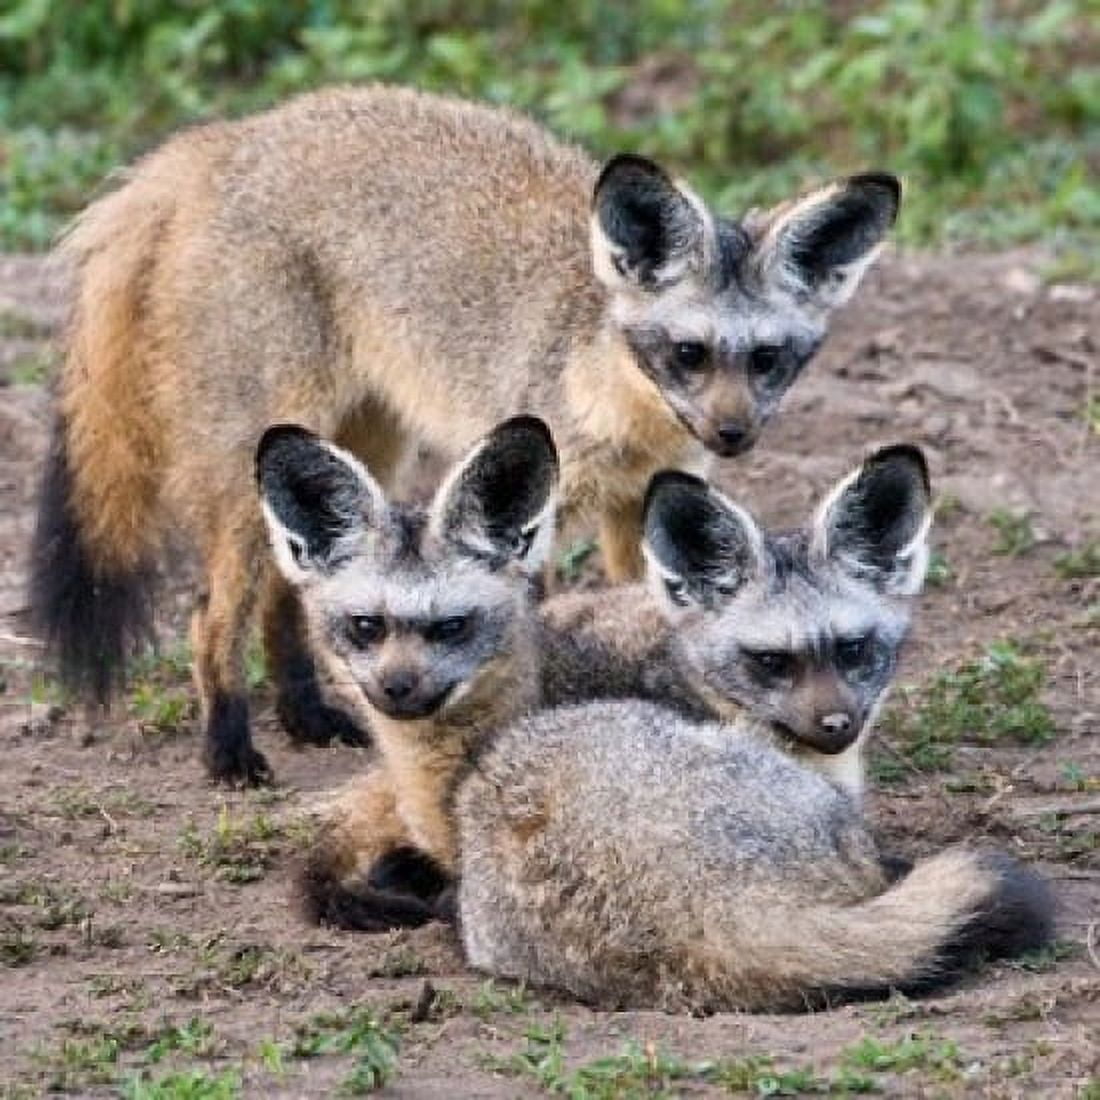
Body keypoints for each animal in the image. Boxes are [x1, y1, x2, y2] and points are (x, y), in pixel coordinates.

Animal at [30, 83, 902, 784]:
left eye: (768, 359)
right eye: (688, 353)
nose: (732, 435)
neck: (619, 408)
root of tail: (230, 137)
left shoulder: (634, 503)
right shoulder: (540, 510)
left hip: (363, 447)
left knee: (292, 588)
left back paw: (306, 717)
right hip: (260, 467)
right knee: (211, 614)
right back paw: (229, 749)